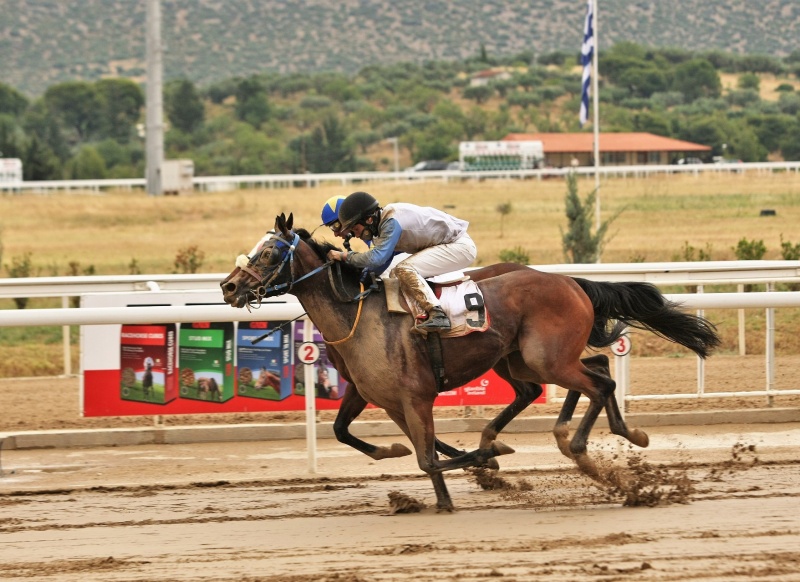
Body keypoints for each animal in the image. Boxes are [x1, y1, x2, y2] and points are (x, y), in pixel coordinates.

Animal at [220, 214, 720, 512]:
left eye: (268, 253)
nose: (228, 287)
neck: (359, 316)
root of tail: (570, 281)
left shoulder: (415, 396)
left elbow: (427, 458)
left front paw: (489, 462)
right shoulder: (384, 397)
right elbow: (363, 436)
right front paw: (427, 477)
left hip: (545, 357)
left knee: (598, 384)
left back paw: (581, 447)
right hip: (525, 360)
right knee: (588, 371)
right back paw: (610, 434)